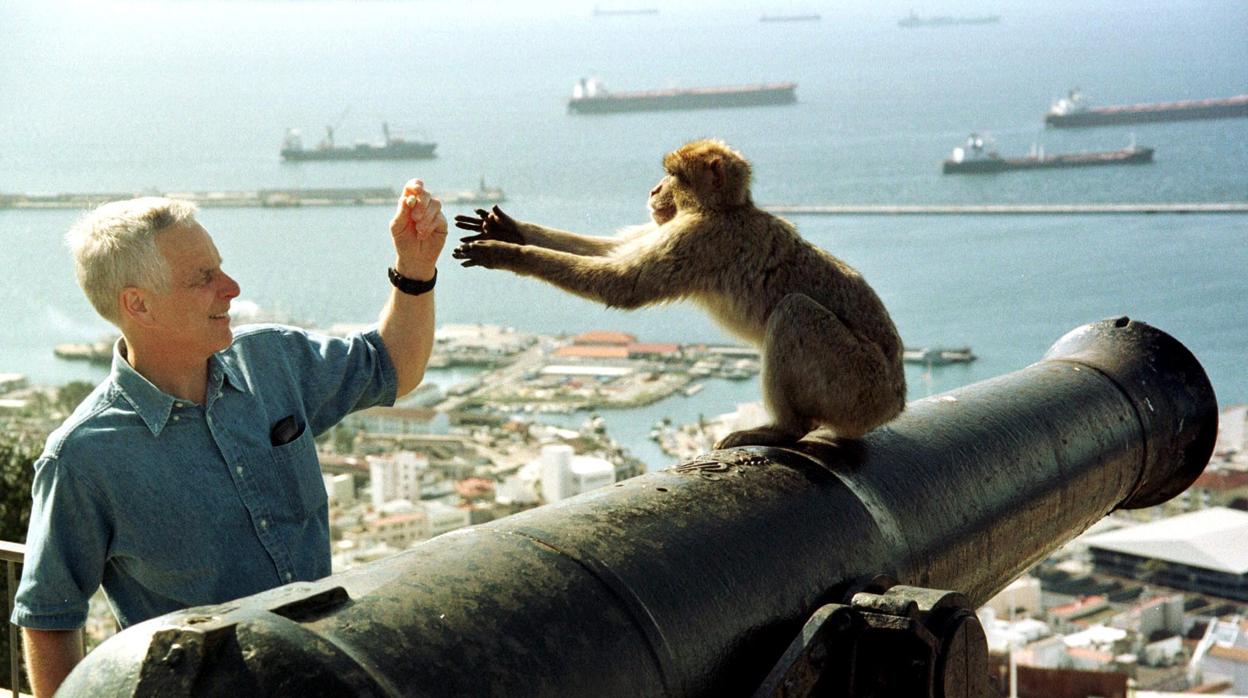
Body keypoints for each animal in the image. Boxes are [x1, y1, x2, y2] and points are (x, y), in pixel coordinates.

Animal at [454, 140, 903, 447]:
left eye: (674, 176)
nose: (654, 190)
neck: (722, 210)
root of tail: (895, 400)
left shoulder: (699, 239)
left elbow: (622, 283)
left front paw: (507, 254)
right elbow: (611, 251)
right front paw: (509, 230)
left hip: (856, 384)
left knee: (795, 311)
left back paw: (782, 429)